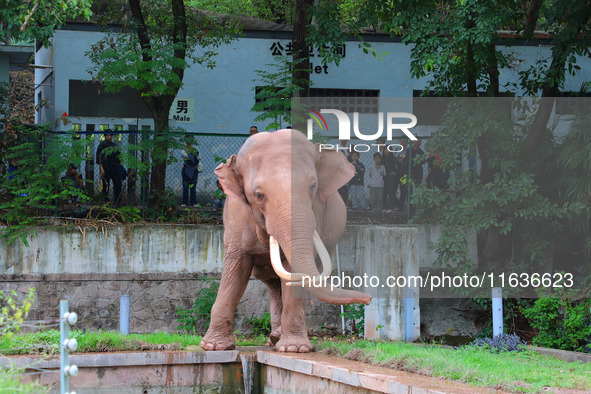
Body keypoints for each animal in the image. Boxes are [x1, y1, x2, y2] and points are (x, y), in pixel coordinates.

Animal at [201, 130, 372, 354]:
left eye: (313, 186)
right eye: (259, 195)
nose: (369, 299)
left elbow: (293, 273)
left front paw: (294, 349)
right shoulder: (237, 217)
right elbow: (236, 270)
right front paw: (214, 346)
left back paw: (278, 339)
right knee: (273, 284)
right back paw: (274, 338)